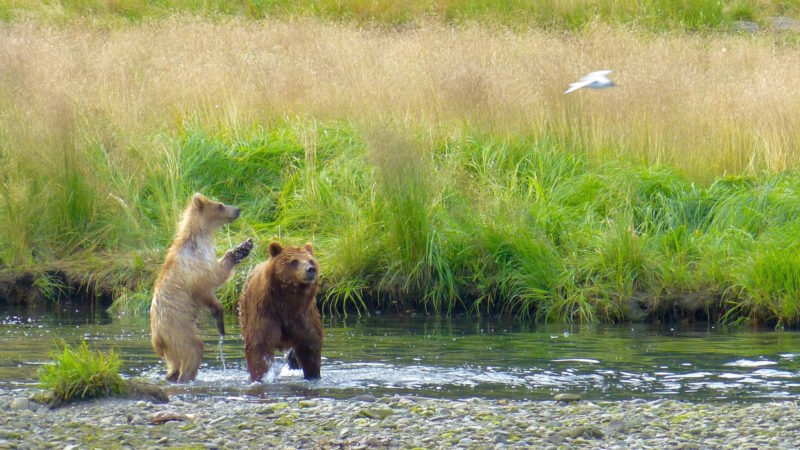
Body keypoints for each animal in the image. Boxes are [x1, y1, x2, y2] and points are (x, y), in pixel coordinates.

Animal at [148, 193, 252, 384]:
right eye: (220, 205)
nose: (237, 209)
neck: (201, 238)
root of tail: (158, 340)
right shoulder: (194, 267)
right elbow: (208, 284)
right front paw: (219, 319)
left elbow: (219, 270)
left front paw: (244, 247)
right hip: (178, 330)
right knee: (194, 349)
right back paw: (186, 377)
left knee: (174, 363)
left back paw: (171, 376)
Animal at [238, 241, 322, 382]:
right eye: (294, 261)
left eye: (311, 260)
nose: (311, 269)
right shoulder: (266, 313)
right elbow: (260, 346)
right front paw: (261, 376)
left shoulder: (303, 316)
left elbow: (309, 347)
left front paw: (313, 375)